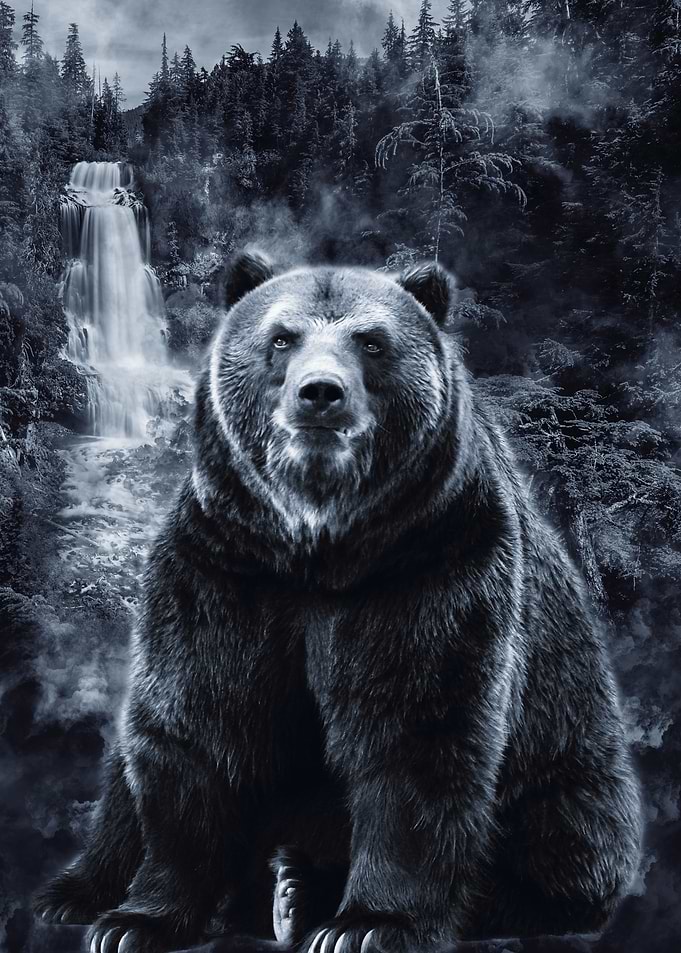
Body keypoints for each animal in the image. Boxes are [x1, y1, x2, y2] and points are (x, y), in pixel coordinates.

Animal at [35, 251, 642, 953]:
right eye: (281, 338)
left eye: (372, 342)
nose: (320, 393)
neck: (318, 545)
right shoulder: (225, 565)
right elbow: (198, 720)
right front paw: (137, 920)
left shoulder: (431, 563)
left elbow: (415, 727)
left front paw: (370, 923)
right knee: (122, 780)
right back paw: (81, 891)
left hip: (570, 760)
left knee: (563, 836)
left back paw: (306, 893)